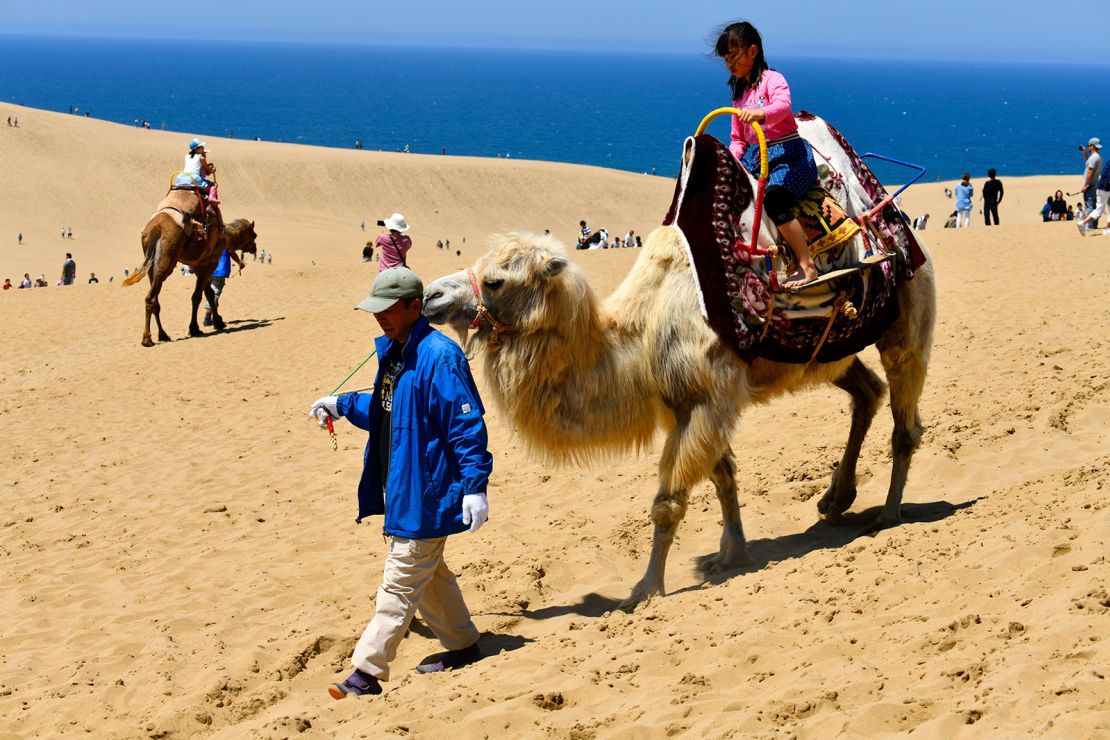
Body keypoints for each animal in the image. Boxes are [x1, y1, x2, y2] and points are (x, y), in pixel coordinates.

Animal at [123, 214, 257, 348]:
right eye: (254, 235)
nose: (255, 248)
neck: (226, 236)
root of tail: (155, 228)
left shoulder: (198, 266)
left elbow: (209, 293)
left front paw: (218, 322)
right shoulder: (210, 263)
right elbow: (197, 296)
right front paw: (195, 328)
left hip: (152, 266)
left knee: (155, 300)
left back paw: (163, 335)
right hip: (167, 260)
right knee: (151, 298)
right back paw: (147, 339)